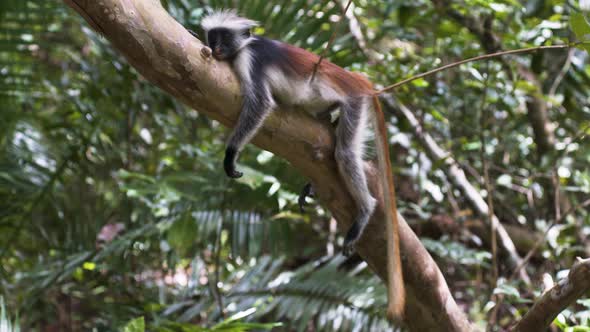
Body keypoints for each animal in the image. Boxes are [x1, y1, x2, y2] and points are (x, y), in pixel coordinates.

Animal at [204, 10, 408, 320]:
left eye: (223, 37)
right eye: (212, 36)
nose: (215, 48)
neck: (245, 46)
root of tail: (357, 80)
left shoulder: (250, 60)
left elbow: (261, 104)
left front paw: (231, 154)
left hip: (354, 102)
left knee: (345, 153)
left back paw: (365, 210)